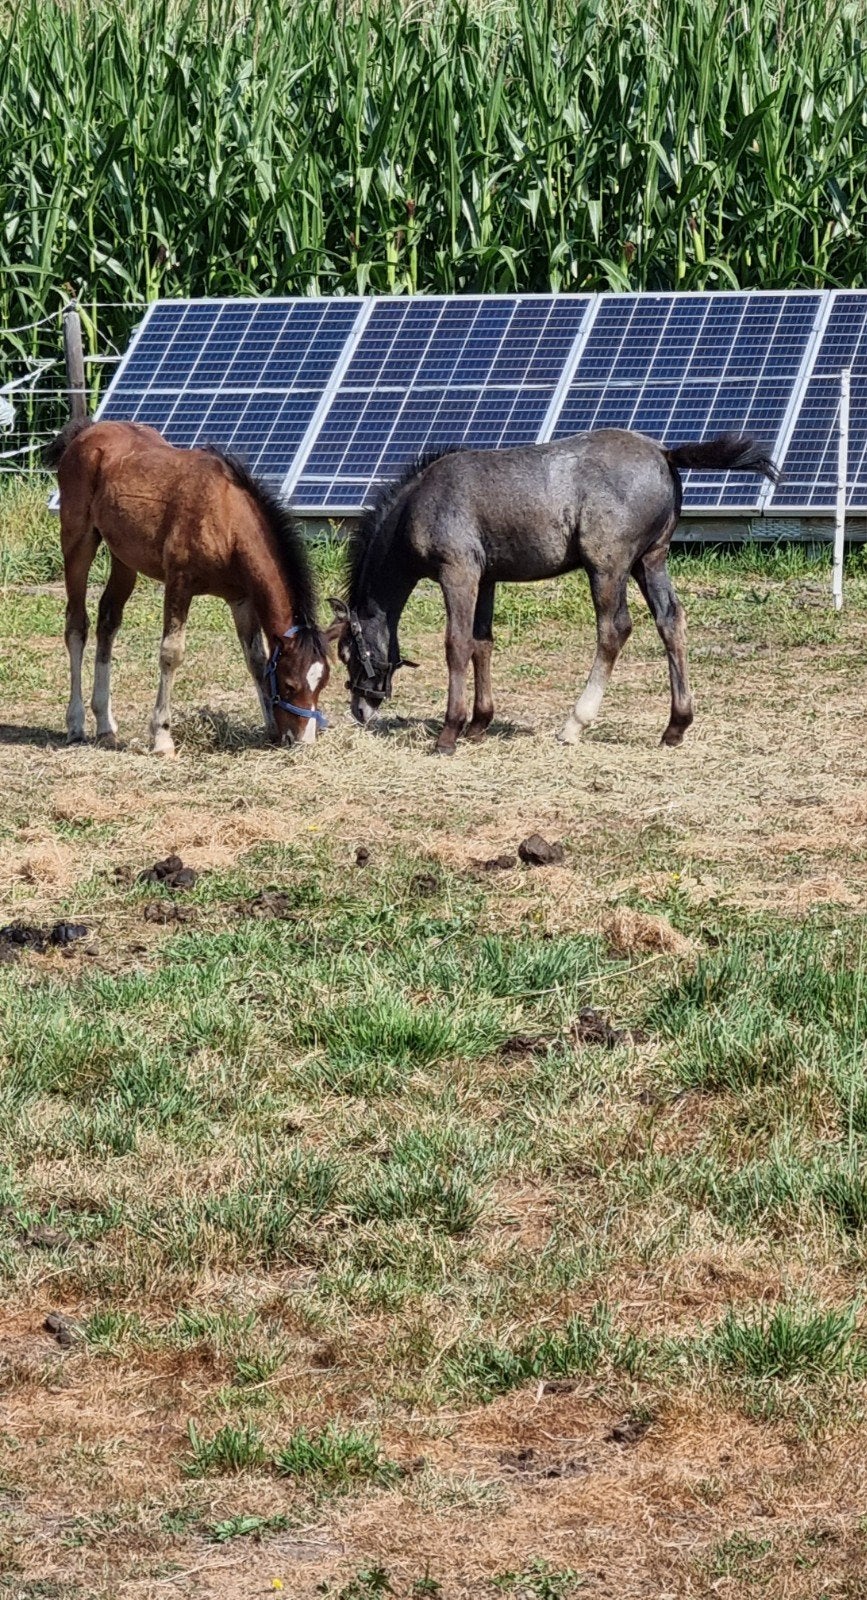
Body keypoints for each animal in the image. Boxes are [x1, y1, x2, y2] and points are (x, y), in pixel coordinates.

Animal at [44, 418, 330, 755]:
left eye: (322, 683)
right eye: (289, 684)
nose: (303, 741)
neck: (227, 519)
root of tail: (86, 431)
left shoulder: (242, 599)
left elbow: (256, 660)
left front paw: (270, 726)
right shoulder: (179, 584)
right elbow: (171, 653)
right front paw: (162, 736)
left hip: (124, 558)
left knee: (108, 621)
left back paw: (105, 726)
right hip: (78, 543)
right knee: (77, 626)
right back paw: (75, 724)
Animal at [328, 429, 779, 754]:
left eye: (347, 653)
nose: (360, 708)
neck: (418, 504)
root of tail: (664, 453)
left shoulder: (459, 573)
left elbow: (456, 644)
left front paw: (450, 733)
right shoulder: (487, 578)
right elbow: (482, 643)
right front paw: (479, 723)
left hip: (607, 566)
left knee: (614, 630)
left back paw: (574, 724)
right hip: (650, 560)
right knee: (671, 621)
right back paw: (675, 726)